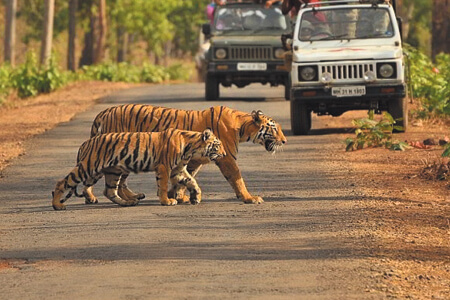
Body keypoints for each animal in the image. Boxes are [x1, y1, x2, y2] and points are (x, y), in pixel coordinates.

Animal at [51, 129, 225, 211]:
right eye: (217, 145)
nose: (224, 155)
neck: (191, 148)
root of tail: (85, 143)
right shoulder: (164, 167)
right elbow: (162, 186)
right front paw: (166, 201)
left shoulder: (177, 169)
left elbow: (192, 181)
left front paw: (196, 197)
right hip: (88, 167)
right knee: (62, 182)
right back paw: (57, 205)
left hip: (111, 171)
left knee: (109, 191)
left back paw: (128, 202)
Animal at [87, 104, 284, 205]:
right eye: (274, 128)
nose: (284, 141)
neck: (242, 127)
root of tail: (103, 112)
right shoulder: (227, 158)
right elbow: (237, 179)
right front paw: (249, 198)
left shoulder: (193, 160)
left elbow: (186, 177)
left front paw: (178, 195)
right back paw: (93, 198)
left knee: (119, 182)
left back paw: (132, 197)